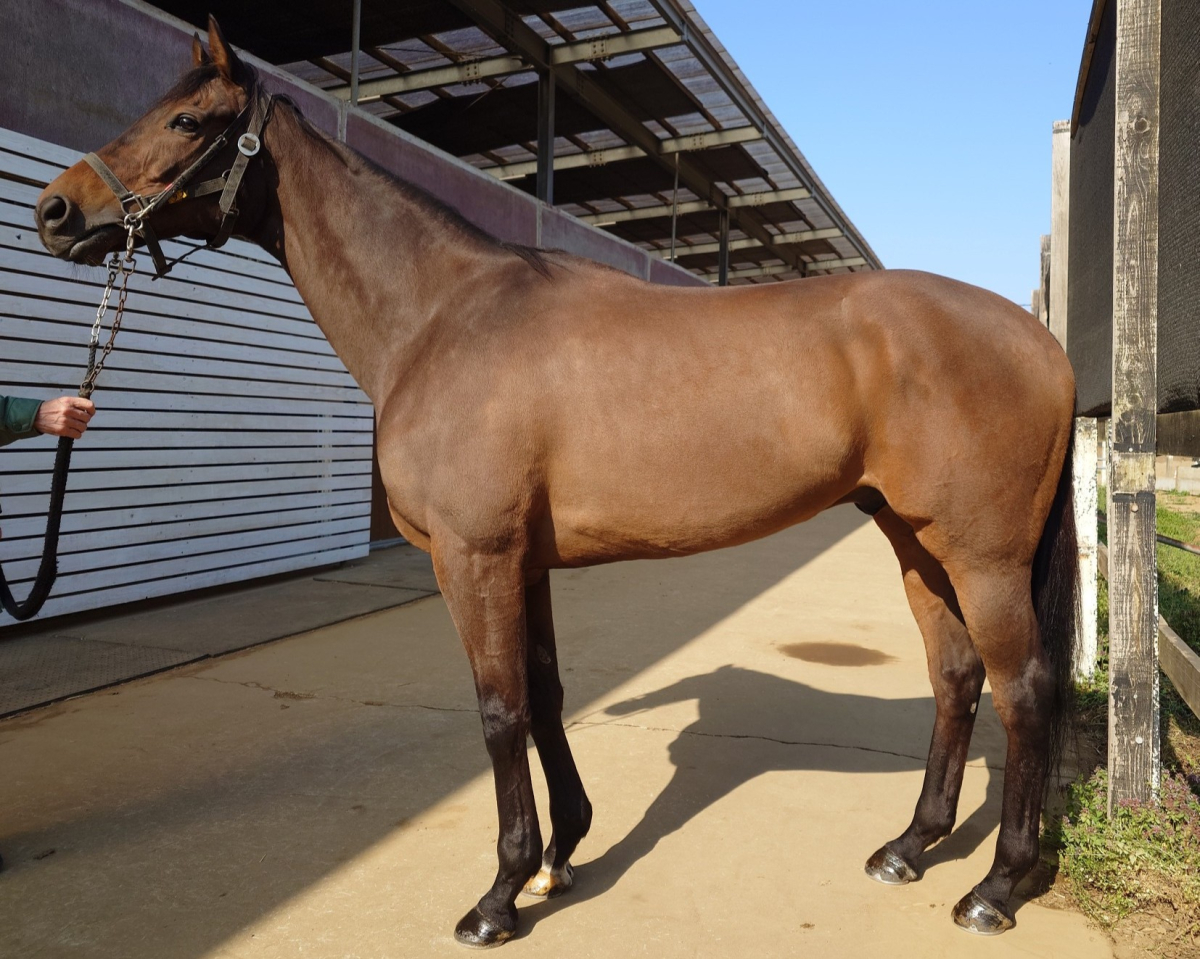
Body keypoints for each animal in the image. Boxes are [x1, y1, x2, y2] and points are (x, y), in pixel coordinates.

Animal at [34, 18, 1077, 947]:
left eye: (187, 120)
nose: (56, 211)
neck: (442, 317)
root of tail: (1040, 340)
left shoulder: (473, 556)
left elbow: (498, 710)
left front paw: (498, 896)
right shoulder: (522, 559)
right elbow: (542, 690)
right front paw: (562, 851)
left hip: (981, 556)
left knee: (1023, 687)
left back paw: (995, 887)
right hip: (914, 539)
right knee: (956, 675)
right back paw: (909, 846)